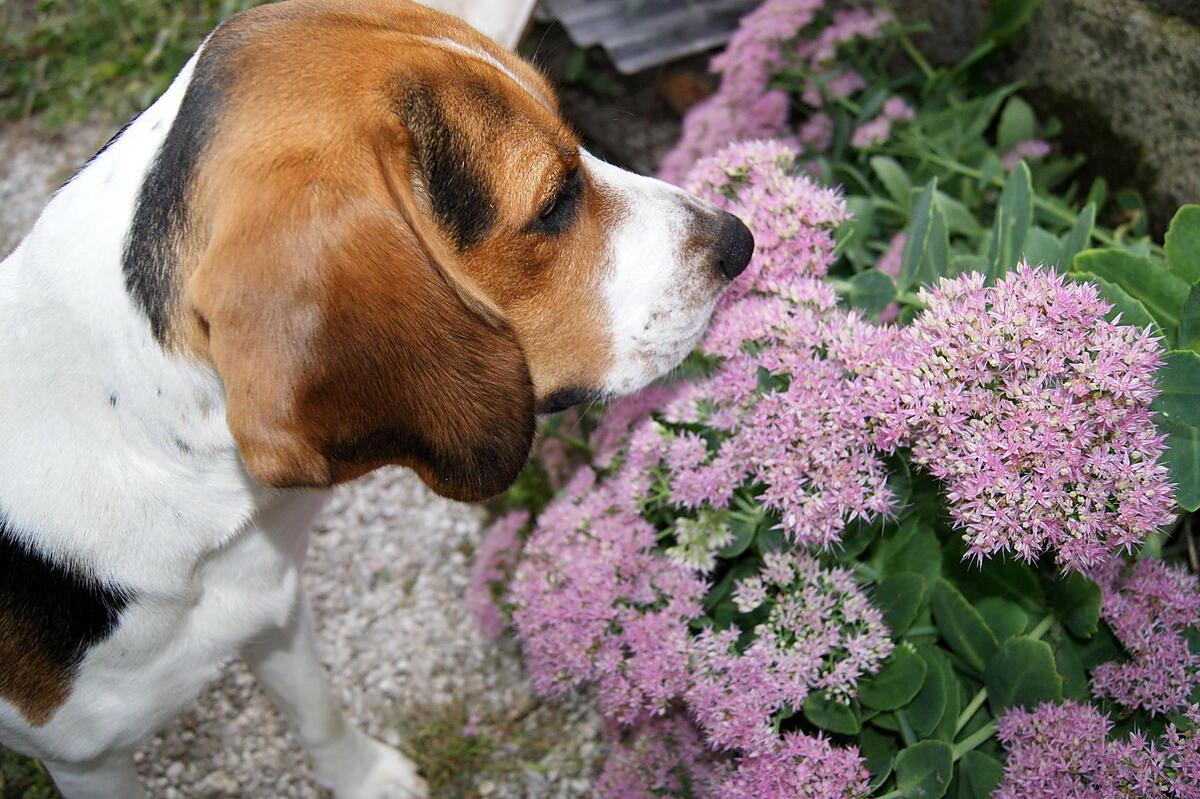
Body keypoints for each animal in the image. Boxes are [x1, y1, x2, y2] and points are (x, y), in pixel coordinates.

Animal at [0, 3, 748, 791]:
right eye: (554, 202)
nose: (740, 240)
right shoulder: (89, 759)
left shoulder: (272, 608)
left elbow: (318, 712)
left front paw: (364, 778)